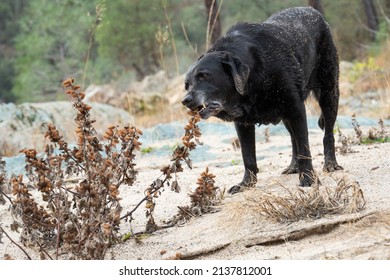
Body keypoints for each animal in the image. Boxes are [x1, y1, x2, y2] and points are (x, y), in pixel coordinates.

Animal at [182, 7, 342, 195]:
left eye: (204, 76)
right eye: (187, 84)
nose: (186, 100)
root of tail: (313, 11)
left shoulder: (296, 110)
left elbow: (304, 149)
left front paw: (308, 179)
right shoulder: (243, 124)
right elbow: (248, 157)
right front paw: (246, 184)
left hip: (329, 95)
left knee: (328, 134)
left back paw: (331, 164)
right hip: (287, 117)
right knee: (293, 140)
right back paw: (293, 166)